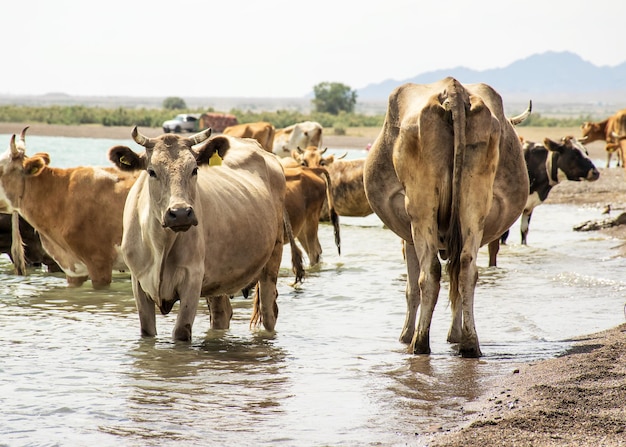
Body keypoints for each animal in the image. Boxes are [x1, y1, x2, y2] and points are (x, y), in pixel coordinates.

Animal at [360, 77, 532, 356]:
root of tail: (453, 90)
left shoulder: (407, 238)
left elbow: (411, 289)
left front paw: (406, 335)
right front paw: (455, 334)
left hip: (421, 209)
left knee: (429, 274)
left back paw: (419, 343)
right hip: (474, 206)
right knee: (466, 269)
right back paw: (470, 343)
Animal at [488, 136, 600, 268]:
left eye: (586, 151)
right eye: (575, 154)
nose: (596, 172)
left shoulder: (529, 207)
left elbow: (524, 231)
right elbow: (503, 236)